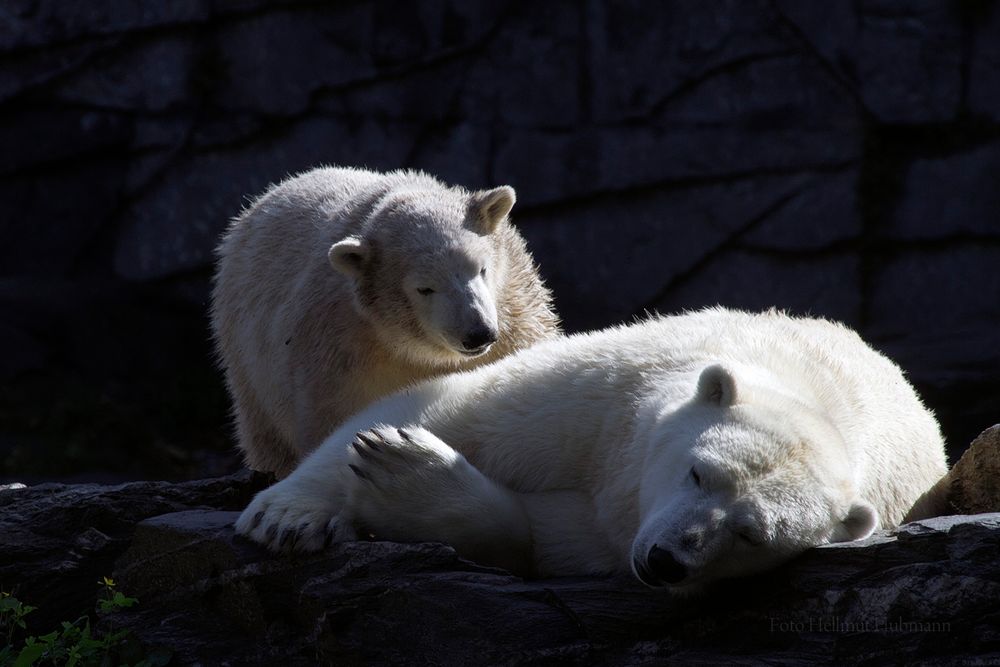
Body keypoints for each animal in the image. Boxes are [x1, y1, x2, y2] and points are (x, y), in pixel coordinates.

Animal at [210, 167, 560, 480]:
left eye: (481, 269)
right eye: (425, 288)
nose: (478, 334)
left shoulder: (514, 312)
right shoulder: (335, 346)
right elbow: (335, 422)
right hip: (246, 365)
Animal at [232, 308, 944, 588]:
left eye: (751, 535)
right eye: (698, 473)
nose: (665, 561)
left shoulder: (610, 536)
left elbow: (538, 539)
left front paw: (406, 474)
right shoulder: (609, 399)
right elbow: (456, 405)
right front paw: (289, 516)